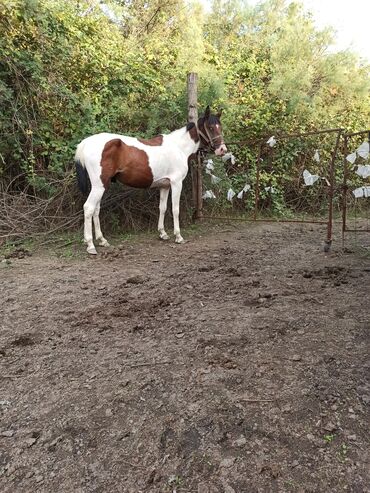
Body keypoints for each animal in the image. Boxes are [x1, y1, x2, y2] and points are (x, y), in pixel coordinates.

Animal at [74, 106, 225, 254]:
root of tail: (86, 143)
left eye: (220, 127)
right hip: (99, 186)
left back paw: (102, 240)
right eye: (211, 127)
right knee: (88, 208)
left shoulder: (165, 185)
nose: (222, 149)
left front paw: (163, 233)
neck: (179, 148)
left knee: (96, 209)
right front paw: (178, 236)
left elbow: (162, 208)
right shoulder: (176, 183)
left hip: (101, 186)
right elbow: (175, 209)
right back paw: (90, 245)